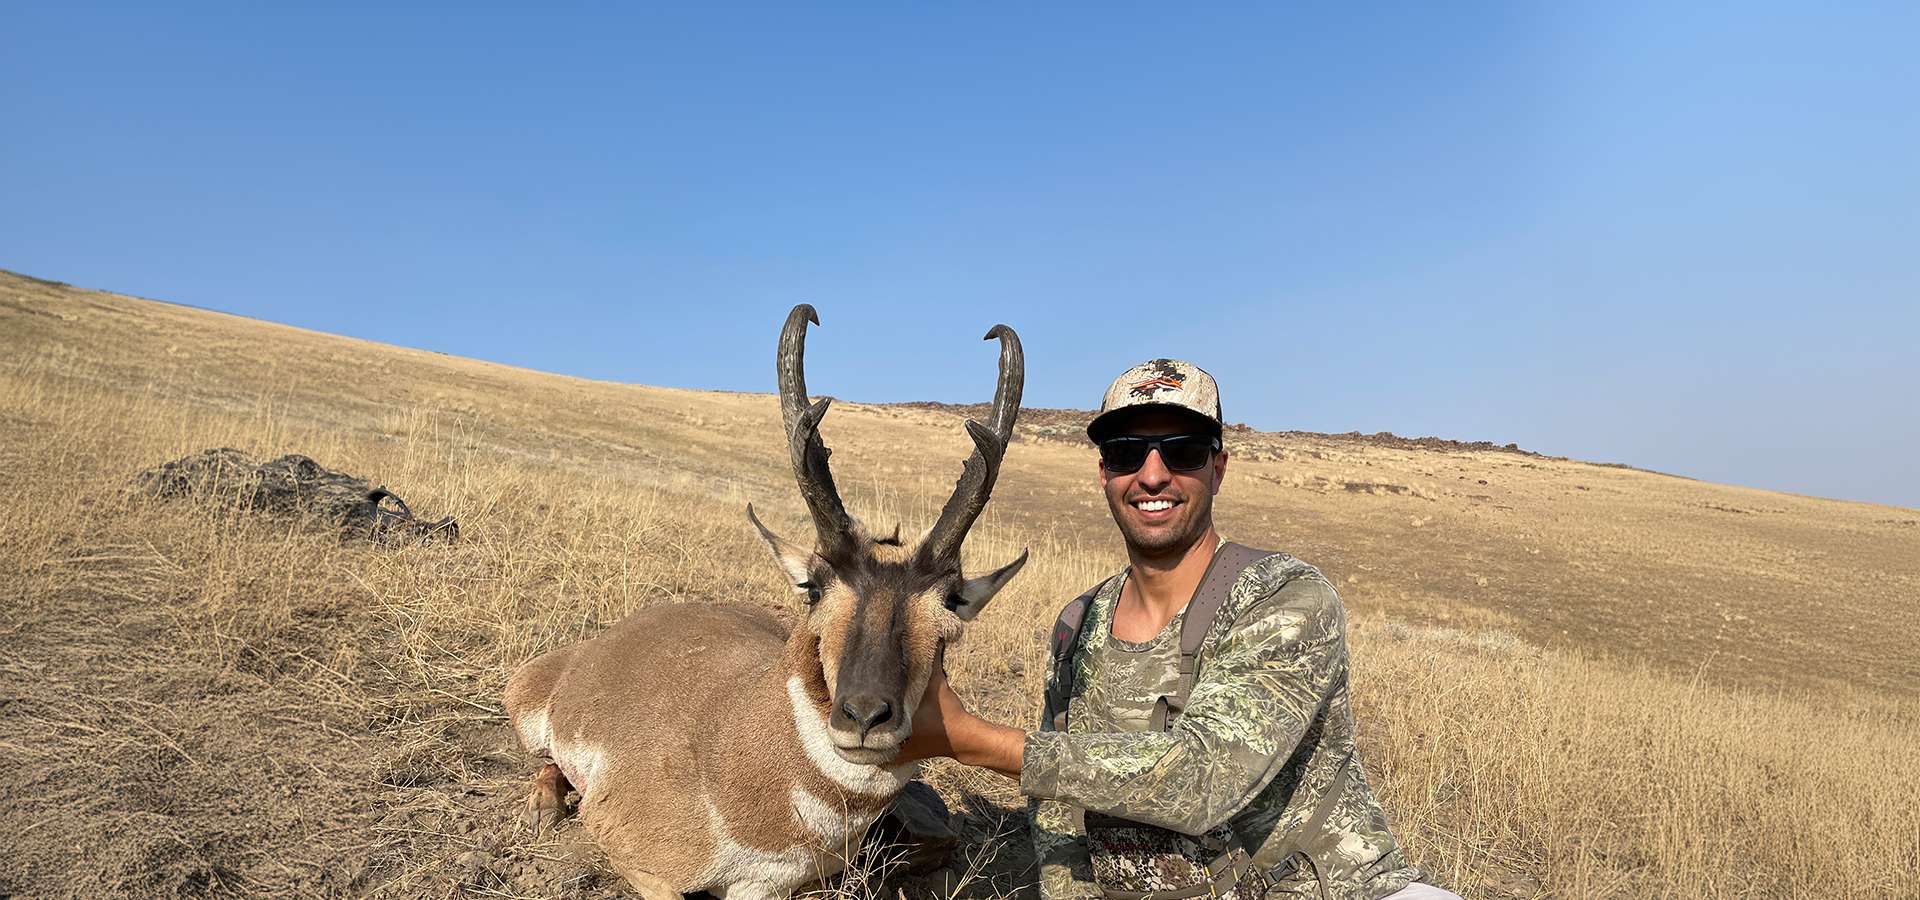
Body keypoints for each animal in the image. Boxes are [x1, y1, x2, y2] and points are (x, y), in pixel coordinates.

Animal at [503, 305, 1028, 900]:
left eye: (951, 608)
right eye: (814, 588)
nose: (865, 716)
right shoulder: (641, 860)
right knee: (546, 759)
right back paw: (544, 806)